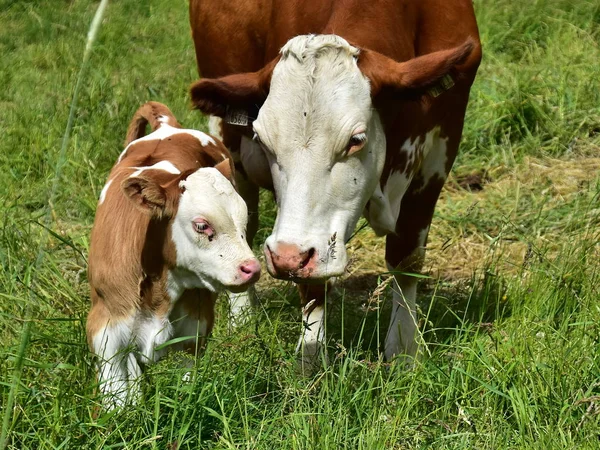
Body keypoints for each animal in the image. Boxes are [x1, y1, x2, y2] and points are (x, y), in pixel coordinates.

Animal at [86, 103, 260, 408]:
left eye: (243, 220)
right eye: (201, 225)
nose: (251, 268)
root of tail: (168, 126)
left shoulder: (193, 332)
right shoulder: (106, 334)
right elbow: (117, 400)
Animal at [188, 0, 482, 368]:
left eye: (356, 140)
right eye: (263, 140)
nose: (286, 257)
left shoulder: (439, 153)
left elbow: (407, 258)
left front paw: (403, 349)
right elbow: (313, 285)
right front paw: (311, 357)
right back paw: (242, 318)